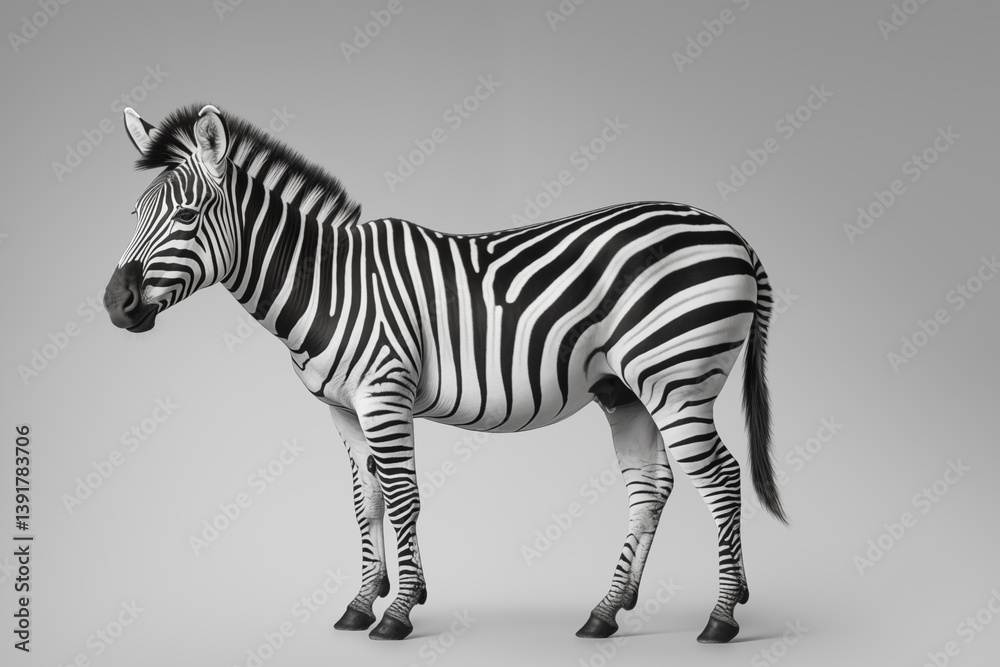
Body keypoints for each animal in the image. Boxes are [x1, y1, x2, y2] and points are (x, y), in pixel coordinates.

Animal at [104, 103, 787, 644]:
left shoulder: (384, 394)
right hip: (626, 390)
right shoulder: (345, 409)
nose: (115, 304)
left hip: (677, 380)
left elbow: (404, 496)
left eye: (186, 217)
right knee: (650, 487)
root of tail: (736, 236)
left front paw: (398, 612)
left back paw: (721, 618)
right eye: (135, 215)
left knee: (721, 478)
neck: (327, 283)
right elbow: (368, 503)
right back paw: (606, 612)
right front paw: (361, 603)